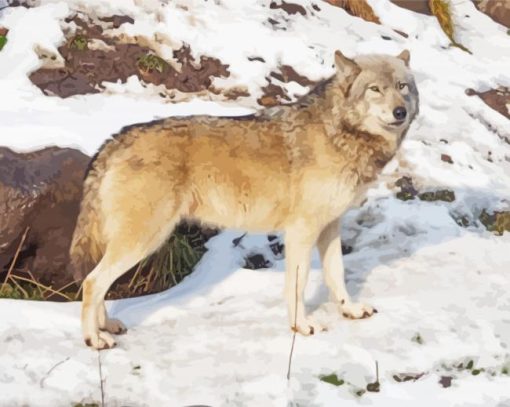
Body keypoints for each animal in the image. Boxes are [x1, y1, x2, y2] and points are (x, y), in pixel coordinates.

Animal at [70, 50, 418, 350]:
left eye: (402, 87)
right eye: (375, 89)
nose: (400, 111)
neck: (341, 133)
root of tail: (114, 140)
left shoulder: (330, 227)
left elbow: (337, 275)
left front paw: (350, 310)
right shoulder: (302, 231)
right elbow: (299, 283)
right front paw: (301, 326)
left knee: (97, 282)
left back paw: (106, 326)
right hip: (145, 240)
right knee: (92, 282)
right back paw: (93, 339)